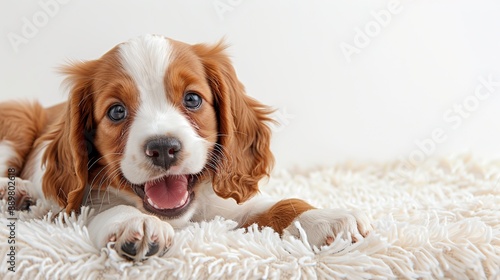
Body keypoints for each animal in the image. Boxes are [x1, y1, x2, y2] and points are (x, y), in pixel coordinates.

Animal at [0, 34, 372, 260]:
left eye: (192, 99)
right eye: (116, 111)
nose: (163, 147)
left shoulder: (225, 208)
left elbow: (276, 205)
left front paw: (327, 218)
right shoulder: (75, 207)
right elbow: (109, 210)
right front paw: (136, 225)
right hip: (17, 120)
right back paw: (16, 193)